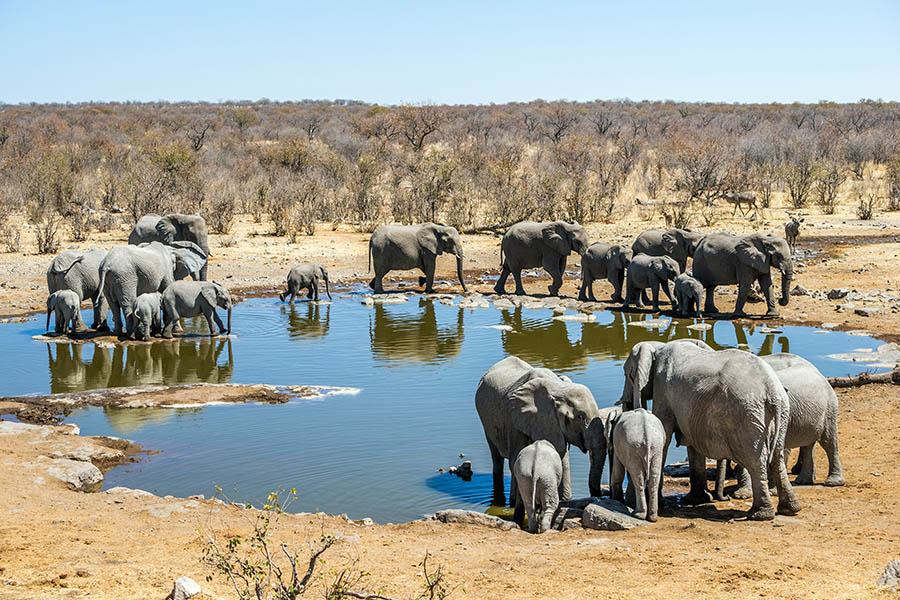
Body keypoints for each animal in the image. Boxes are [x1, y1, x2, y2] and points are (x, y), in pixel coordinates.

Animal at [475, 355, 604, 524]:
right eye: (580, 417)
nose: (598, 496)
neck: (557, 388)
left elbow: (563, 461)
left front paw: (565, 501)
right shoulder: (514, 420)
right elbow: (515, 459)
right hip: (486, 421)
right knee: (496, 458)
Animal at [621, 340, 800, 520]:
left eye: (627, 374)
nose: (724, 497)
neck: (659, 346)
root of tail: (772, 392)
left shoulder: (663, 391)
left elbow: (665, 436)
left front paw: (663, 503)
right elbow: (692, 443)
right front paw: (696, 500)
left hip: (748, 414)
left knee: (756, 461)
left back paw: (759, 514)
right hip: (780, 413)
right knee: (777, 457)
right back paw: (790, 509)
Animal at [715, 353, 844, 499]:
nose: (727, 496)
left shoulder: (784, 415)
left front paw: (770, 492)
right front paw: (743, 494)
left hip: (830, 407)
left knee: (827, 441)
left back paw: (832, 482)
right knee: (808, 444)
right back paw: (803, 481)